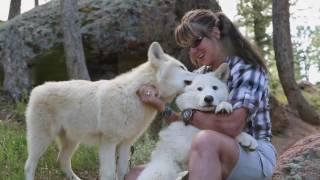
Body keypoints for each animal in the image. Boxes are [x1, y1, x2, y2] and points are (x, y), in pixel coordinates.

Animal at [23, 41, 194, 179]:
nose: (197, 72)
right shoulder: (108, 143)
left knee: (62, 162)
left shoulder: (125, 144)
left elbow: (124, 173)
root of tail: (36, 89)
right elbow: (110, 174)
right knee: (29, 165)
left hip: (72, 141)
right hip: (42, 141)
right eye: (182, 67)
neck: (133, 96)